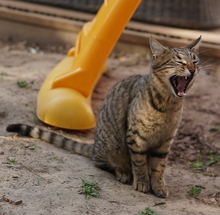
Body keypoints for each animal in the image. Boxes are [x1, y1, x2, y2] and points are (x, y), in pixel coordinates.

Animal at [6, 35, 202, 198]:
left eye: (195, 61)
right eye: (179, 61)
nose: (193, 69)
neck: (169, 105)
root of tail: (94, 146)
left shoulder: (165, 141)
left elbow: (159, 168)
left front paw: (159, 186)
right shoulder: (136, 138)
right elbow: (139, 163)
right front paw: (142, 182)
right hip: (112, 147)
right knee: (103, 163)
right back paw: (123, 172)